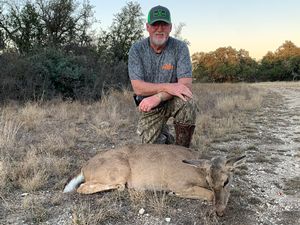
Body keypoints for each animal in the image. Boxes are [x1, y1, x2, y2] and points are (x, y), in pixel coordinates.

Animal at [64, 144, 245, 216]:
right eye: (209, 181)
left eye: (226, 181)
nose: (219, 212)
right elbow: (209, 195)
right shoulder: (178, 183)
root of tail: (85, 167)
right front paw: (173, 194)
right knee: (83, 187)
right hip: (118, 170)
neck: (198, 172)